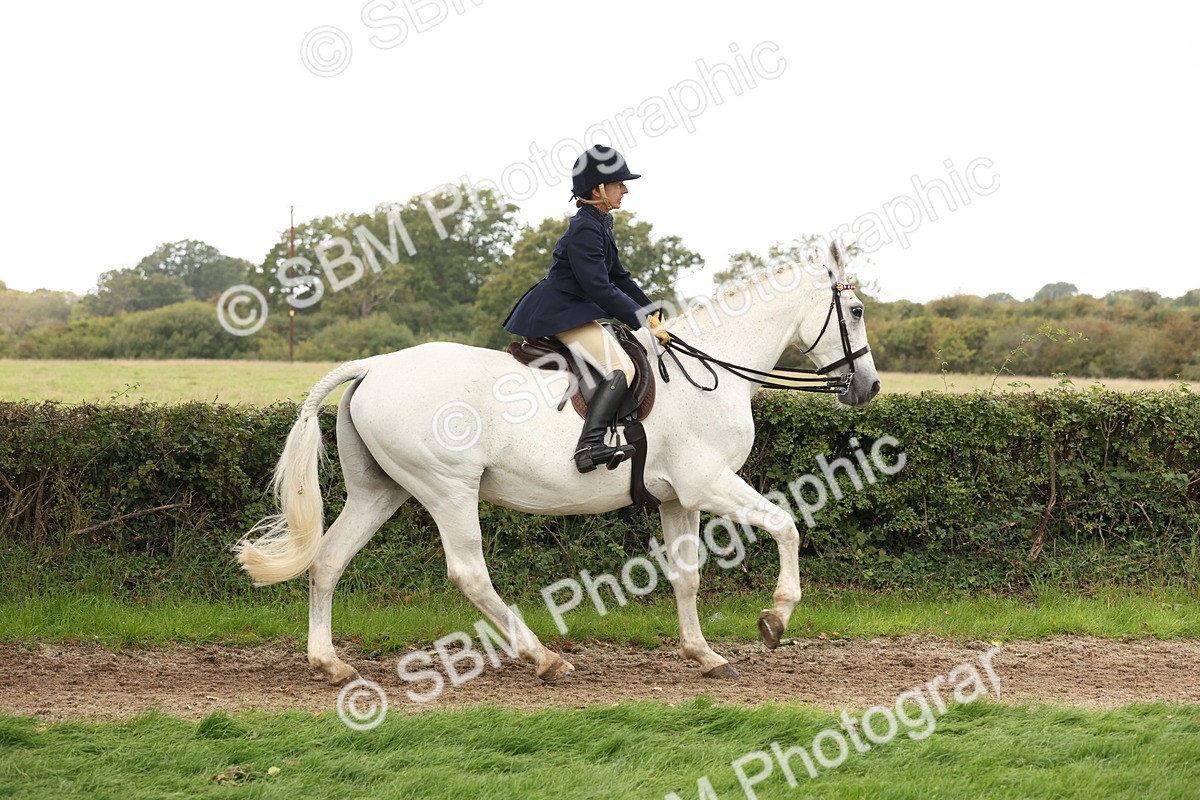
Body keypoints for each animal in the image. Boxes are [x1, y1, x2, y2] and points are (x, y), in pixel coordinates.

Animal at [235, 241, 880, 686]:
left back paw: (330, 665)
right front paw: (776, 619)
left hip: (380, 491)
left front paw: (705, 655)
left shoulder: (679, 496)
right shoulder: (708, 482)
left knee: (329, 559)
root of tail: (374, 365)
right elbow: (785, 525)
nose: (868, 387)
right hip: (448, 489)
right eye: (854, 312)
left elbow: (686, 575)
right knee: (469, 573)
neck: (712, 369)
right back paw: (544, 658)